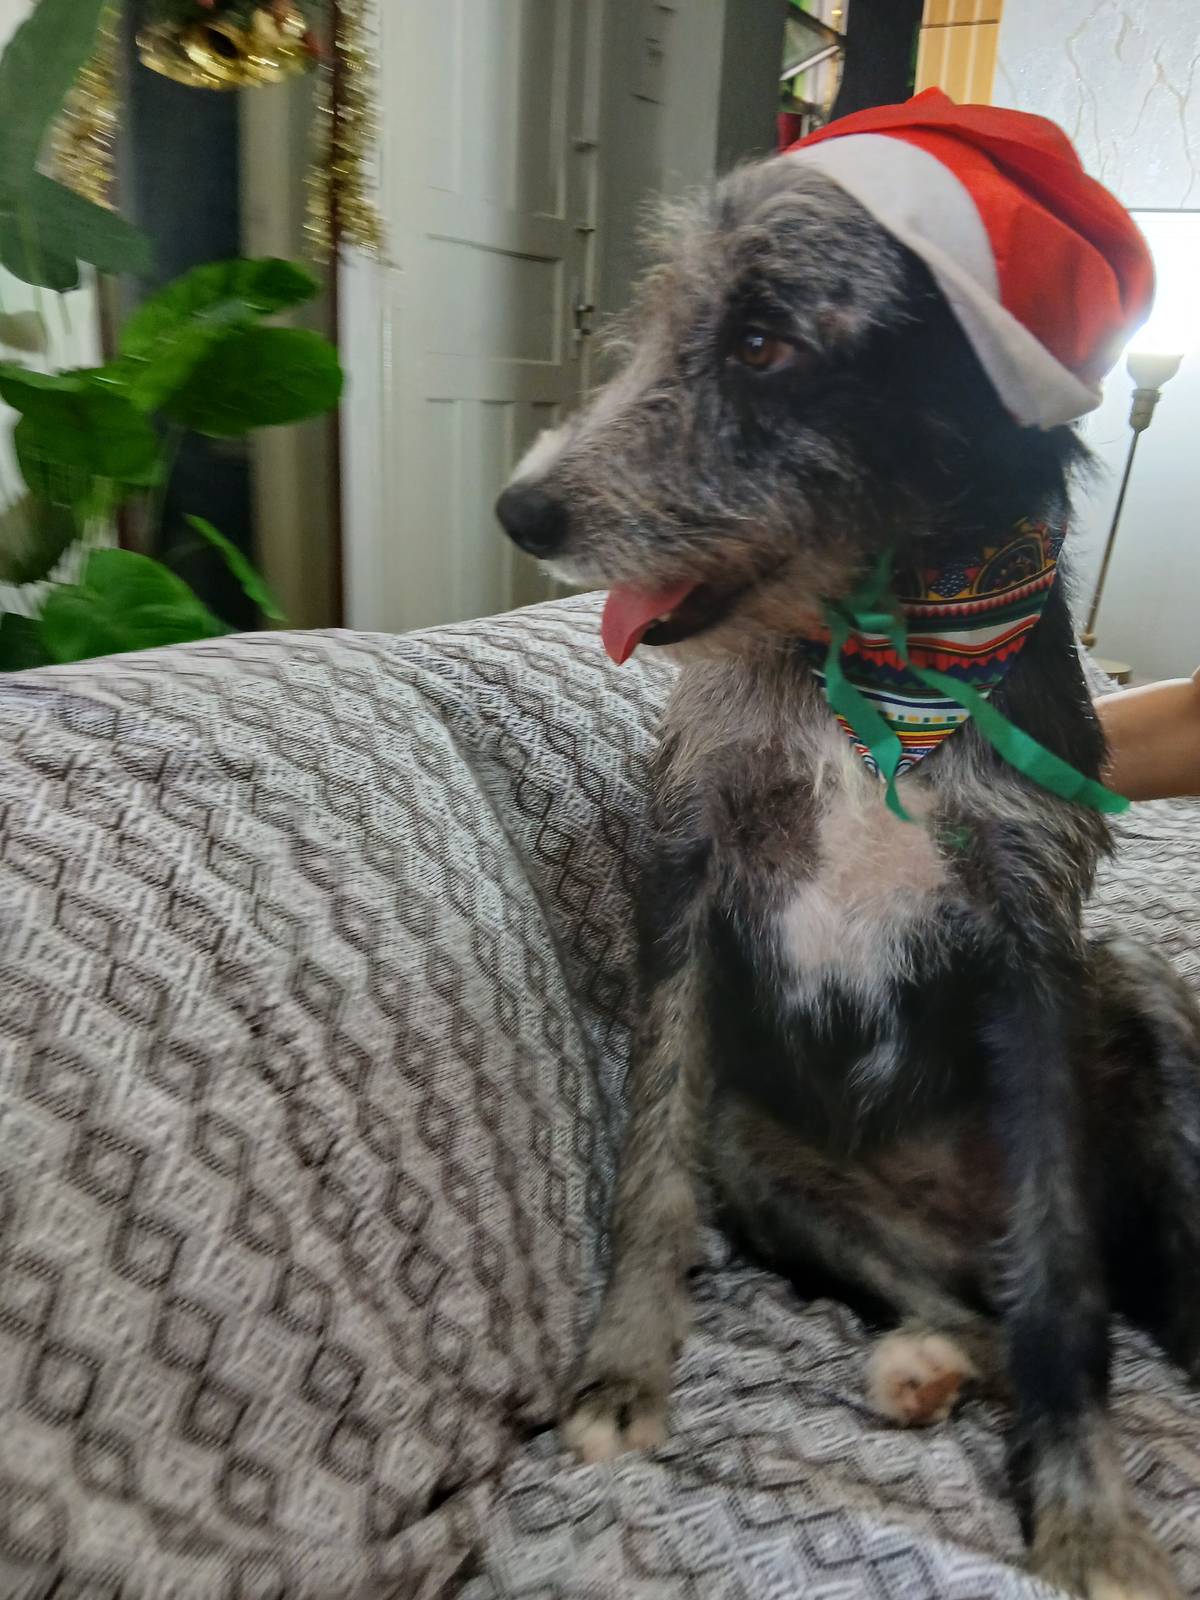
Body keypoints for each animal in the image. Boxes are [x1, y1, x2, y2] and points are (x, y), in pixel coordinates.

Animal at [495, 154, 1200, 1600]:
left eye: (765, 343)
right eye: (668, 316)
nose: (520, 508)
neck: (874, 659)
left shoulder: (1033, 939)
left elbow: (1062, 1286)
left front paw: (1089, 1510)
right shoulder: (690, 876)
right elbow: (649, 1163)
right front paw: (622, 1368)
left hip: (1150, 1009)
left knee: (1078, 1290)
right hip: (771, 1159)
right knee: (960, 1306)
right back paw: (927, 1357)